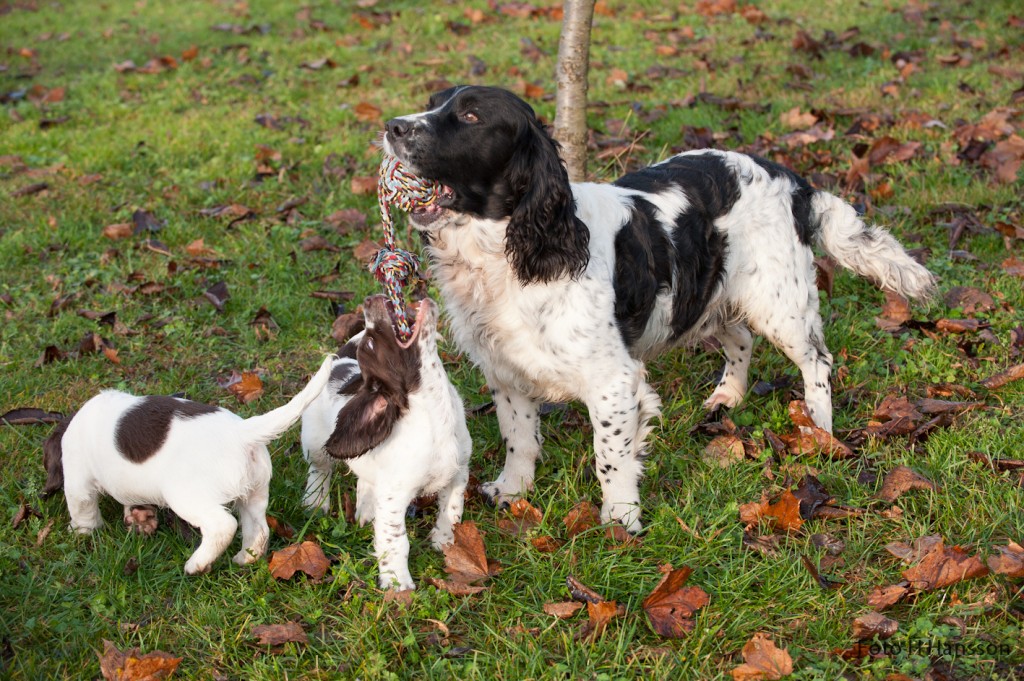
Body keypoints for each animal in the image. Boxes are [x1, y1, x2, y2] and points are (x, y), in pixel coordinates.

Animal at [40, 356, 335, 573]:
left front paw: (80, 533)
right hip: (254, 490)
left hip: (186, 495)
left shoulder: (78, 482)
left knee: (223, 525)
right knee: (258, 528)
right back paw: (245, 558)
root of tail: (241, 431)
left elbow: (83, 509)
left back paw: (197, 564)